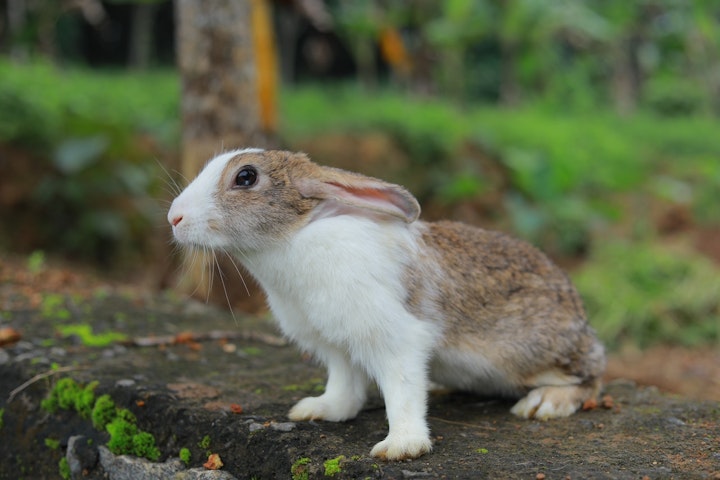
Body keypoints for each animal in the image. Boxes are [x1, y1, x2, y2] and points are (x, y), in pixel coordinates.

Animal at [169, 147, 608, 462]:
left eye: (246, 177)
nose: (174, 217)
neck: (294, 236)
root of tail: (583, 324)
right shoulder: (335, 346)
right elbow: (344, 386)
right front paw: (318, 410)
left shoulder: (393, 337)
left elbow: (402, 391)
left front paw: (402, 447)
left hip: (533, 354)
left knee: (592, 379)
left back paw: (543, 404)